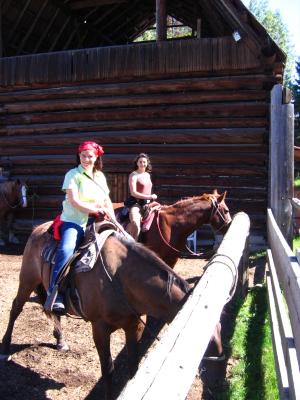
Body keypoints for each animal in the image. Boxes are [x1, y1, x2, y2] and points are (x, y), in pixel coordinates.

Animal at [0, 220, 191, 398]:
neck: (119, 278)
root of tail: (37, 229)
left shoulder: (134, 325)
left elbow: (133, 367)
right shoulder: (100, 329)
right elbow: (108, 369)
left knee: (54, 312)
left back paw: (60, 341)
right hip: (27, 280)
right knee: (15, 308)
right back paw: (5, 349)